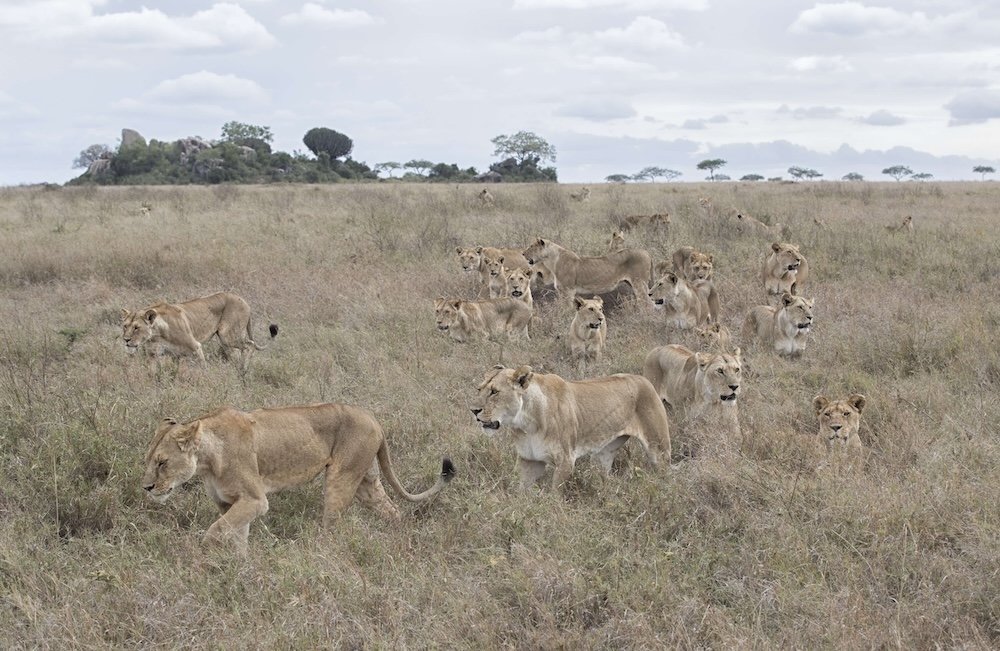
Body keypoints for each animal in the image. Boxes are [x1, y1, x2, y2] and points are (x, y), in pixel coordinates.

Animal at [121, 292, 275, 373]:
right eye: (125, 326)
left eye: (136, 327)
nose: (126, 340)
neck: (155, 334)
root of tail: (244, 301)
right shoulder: (154, 354)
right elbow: (153, 375)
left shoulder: (195, 347)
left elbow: (202, 367)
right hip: (227, 343)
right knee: (238, 352)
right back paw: (236, 370)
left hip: (228, 336)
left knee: (249, 345)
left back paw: (243, 371)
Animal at [142, 403, 455, 550]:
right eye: (148, 461)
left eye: (162, 462)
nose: (147, 487)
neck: (207, 460)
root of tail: (373, 418)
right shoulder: (230, 503)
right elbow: (237, 535)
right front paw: (240, 568)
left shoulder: (255, 500)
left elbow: (217, 529)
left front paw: (204, 557)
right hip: (366, 482)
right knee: (391, 510)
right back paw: (402, 538)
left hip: (340, 479)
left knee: (332, 525)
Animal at [469, 365, 670, 491]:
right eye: (479, 389)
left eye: (494, 392)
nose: (473, 410)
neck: (526, 424)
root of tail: (643, 379)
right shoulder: (529, 460)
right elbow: (520, 492)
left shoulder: (565, 461)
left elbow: (555, 496)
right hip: (602, 455)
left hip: (658, 450)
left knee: (665, 474)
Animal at [522, 237, 652, 303]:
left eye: (531, 246)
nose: (523, 253)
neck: (551, 261)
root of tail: (646, 252)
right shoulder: (562, 292)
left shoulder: (568, 290)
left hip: (639, 283)